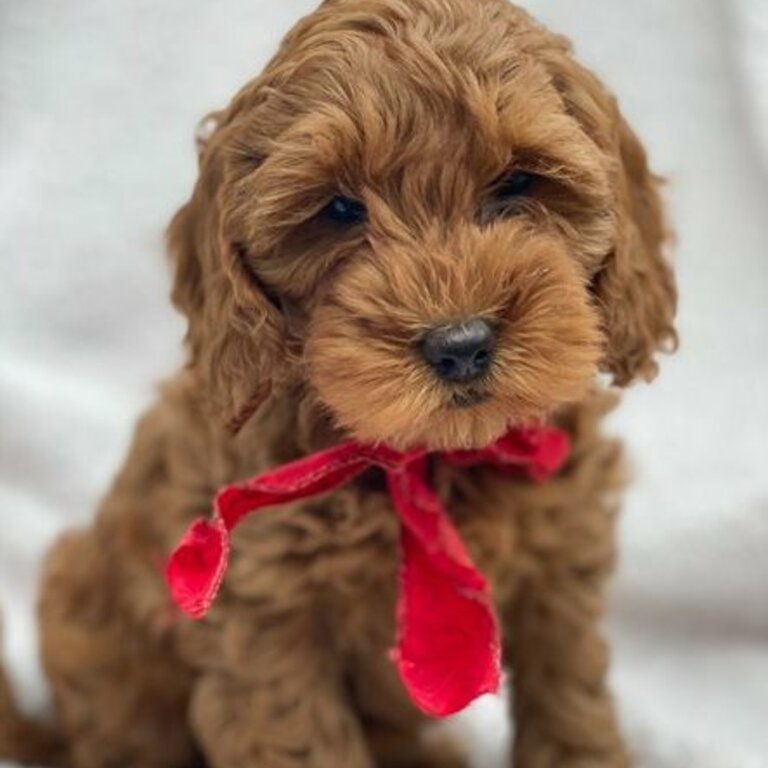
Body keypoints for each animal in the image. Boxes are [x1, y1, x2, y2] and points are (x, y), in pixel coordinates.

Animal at [0, 1, 676, 768]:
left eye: (518, 183)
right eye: (340, 211)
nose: (461, 345)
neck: (426, 460)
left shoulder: (561, 569)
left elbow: (571, 707)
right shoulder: (266, 622)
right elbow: (301, 738)